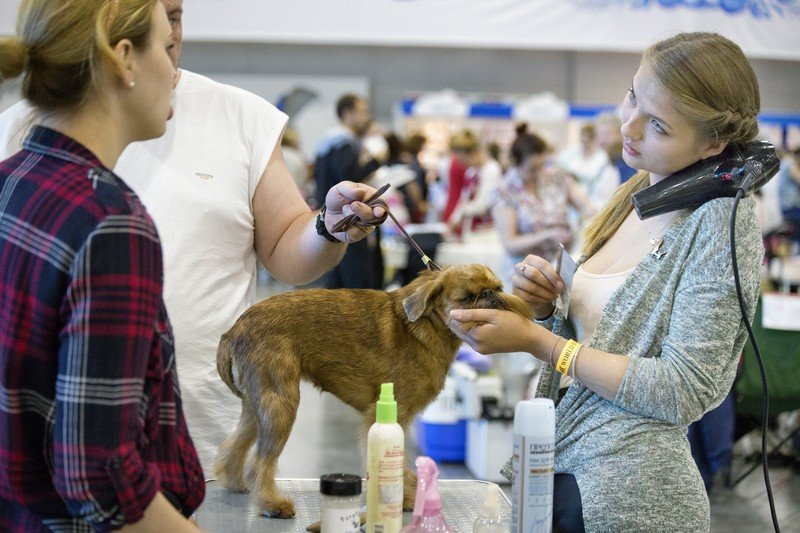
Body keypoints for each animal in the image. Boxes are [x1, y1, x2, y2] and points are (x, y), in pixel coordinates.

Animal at [212, 264, 532, 516]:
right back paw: (271, 503)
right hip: (281, 402)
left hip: (260, 402)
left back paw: (236, 482)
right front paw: (401, 498)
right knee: (262, 459)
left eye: (498, 288)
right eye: (467, 298)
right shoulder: (387, 414)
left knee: (237, 443)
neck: (427, 324)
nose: (490, 296)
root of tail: (235, 330)